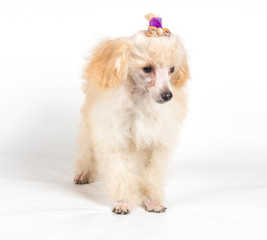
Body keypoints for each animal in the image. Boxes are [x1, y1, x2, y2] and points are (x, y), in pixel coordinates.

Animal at [74, 14, 191, 215]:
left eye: (172, 69)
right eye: (147, 68)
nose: (167, 96)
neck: (141, 101)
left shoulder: (157, 143)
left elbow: (153, 174)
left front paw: (152, 201)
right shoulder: (114, 138)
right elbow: (119, 173)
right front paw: (123, 201)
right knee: (86, 147)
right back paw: (83, 173)